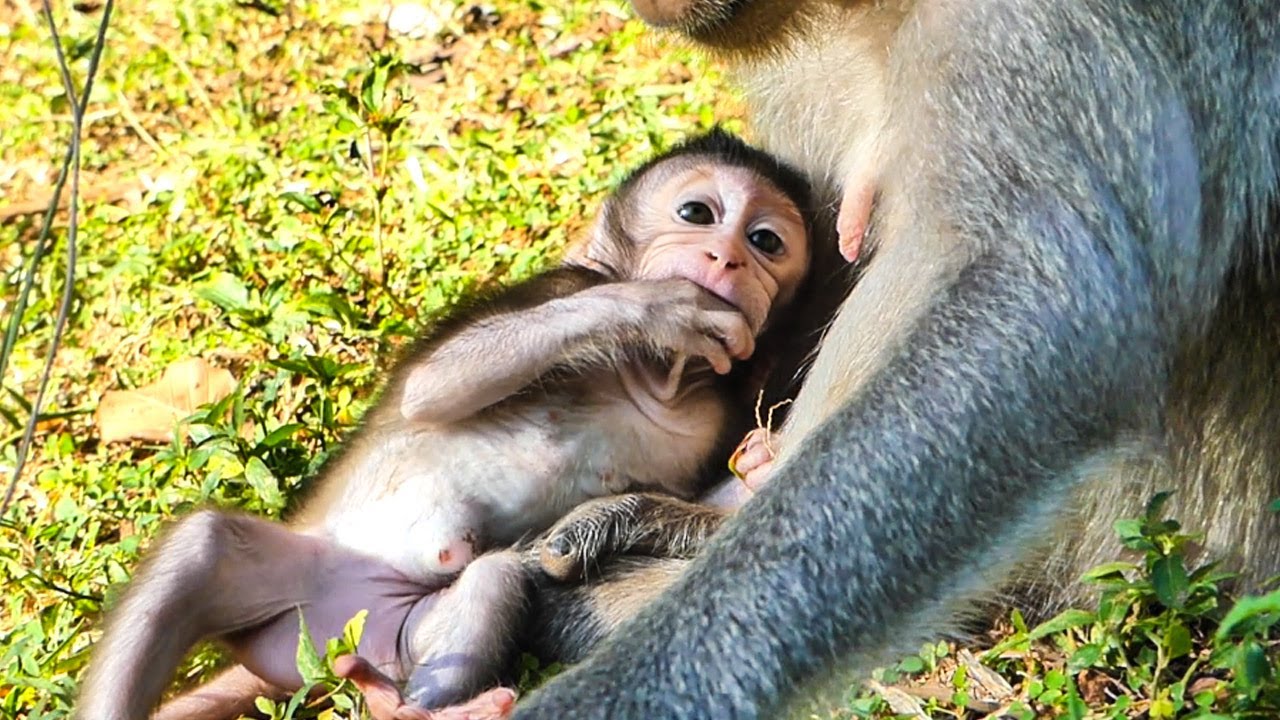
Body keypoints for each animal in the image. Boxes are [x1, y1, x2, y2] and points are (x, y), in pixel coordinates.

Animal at [73, 127, 818, 720]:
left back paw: (413, 708)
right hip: (298, 590)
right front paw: (659, 305)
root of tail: (331, 646)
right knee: (204, 546)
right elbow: (430, 390)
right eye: (698, 213)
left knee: (493, 581)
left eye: (766, 242)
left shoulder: (710, 414)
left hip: (397, 634)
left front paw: (755, 464)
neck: (655, 377)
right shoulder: (562, 288)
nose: (729, 259)